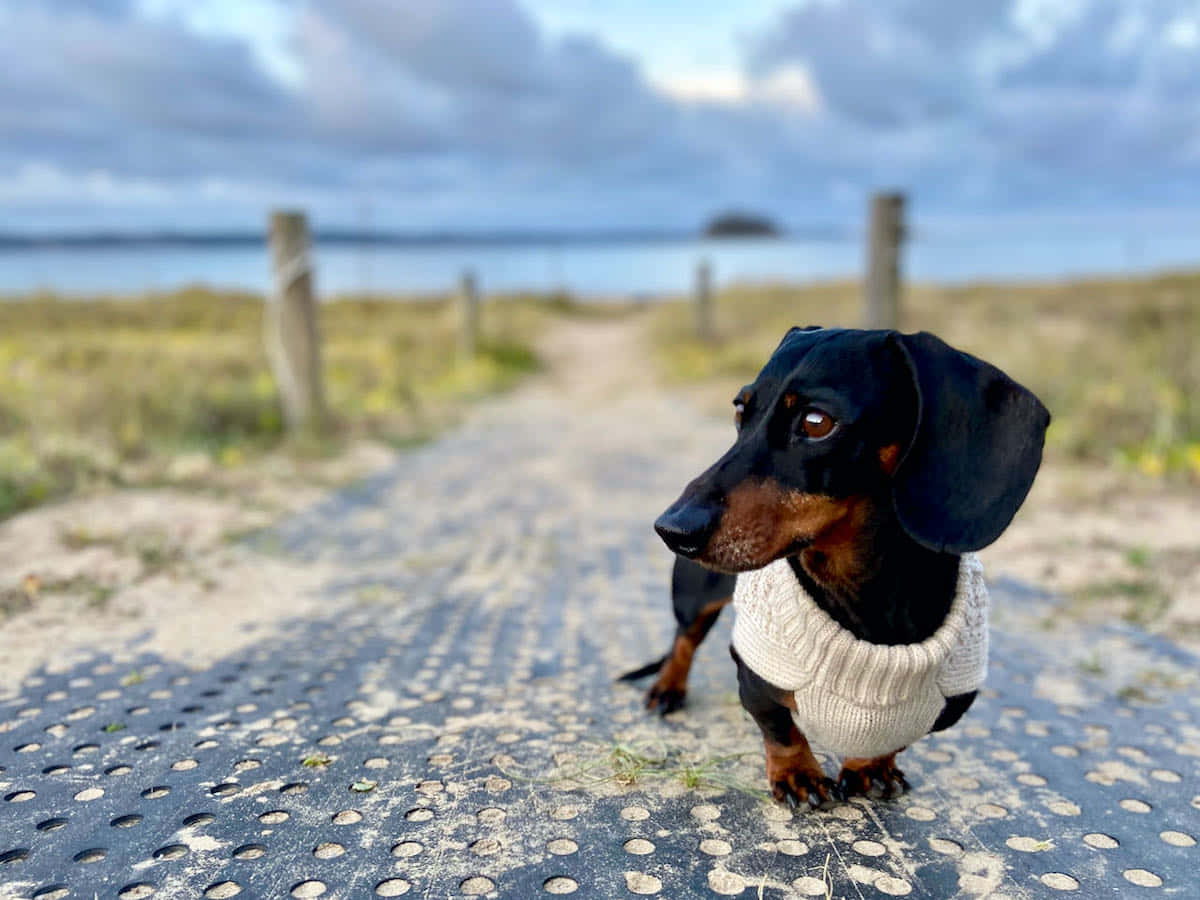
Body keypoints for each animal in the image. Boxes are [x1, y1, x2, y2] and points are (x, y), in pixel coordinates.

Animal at [624, 328, 1046, 806]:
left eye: (816, 422)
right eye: (740, 410)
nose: (671, 529)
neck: (869, 598)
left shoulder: (951, 700)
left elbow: (895, 739)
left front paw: (871, 767)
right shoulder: (755, 669)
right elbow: (778, 726)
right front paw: (798, 774)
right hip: (695, 593)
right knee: (684, 639)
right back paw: (667, 689)